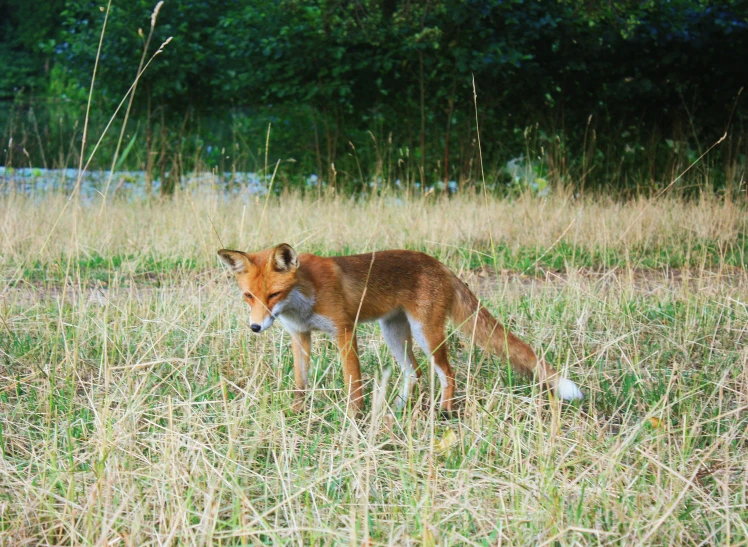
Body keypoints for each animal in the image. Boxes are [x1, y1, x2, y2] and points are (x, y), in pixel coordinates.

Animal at [218, 246, 584, 414]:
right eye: (249, 296)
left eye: (273, 294)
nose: (255, 326)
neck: (304, 297)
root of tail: (438, 263)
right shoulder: (300, 335)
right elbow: (300, 383)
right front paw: (297, 414)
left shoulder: (344, 332)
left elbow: (353, 383)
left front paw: (355, 419)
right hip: (393, 333)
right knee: (415, 373)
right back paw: (396, 409)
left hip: (426, 334)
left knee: (447, 373)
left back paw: (445, 412)